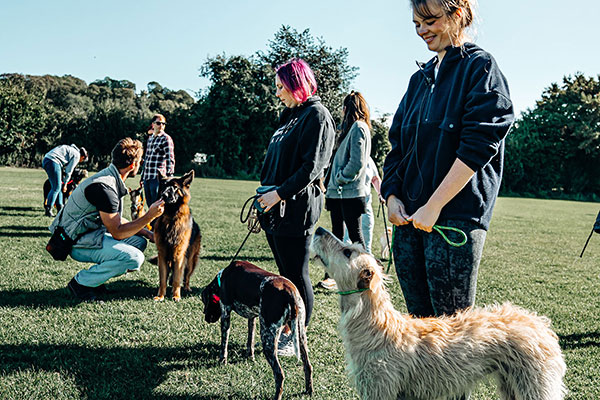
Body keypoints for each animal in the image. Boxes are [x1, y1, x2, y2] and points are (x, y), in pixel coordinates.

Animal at [154, 170, 203, 302]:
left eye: (175, 187)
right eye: (164, 185)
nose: (164, 195)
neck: (171, 217)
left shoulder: (179, 255)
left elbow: (177, 278)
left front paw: (176, 296)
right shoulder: (162, 255)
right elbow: (162, 279)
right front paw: (161, 296)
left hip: (190, 260)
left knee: (186, 276)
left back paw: (186, 288)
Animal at [202, 260, 314, 400]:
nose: (206, 318)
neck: (223, 277)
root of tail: (290, 292)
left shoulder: (225, 314)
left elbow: (224, 343)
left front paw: (223, 361)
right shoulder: (253, 317)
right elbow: (250, 342)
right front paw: (250, 357)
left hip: (268, 339)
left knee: (279, 374)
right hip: (300, 335)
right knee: (308, 366)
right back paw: (309, 391)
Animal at [312, 228, 564, 400]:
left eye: (347, 251)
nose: (320, 229)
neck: (374, 323)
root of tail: (540, 325)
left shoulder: (380, 388)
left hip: (534, 385)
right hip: (511, 383)